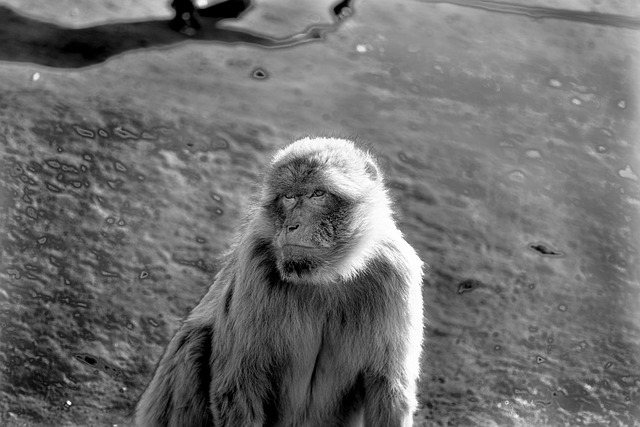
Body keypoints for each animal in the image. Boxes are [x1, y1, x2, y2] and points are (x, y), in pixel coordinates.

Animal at [135, 138, 424, 427]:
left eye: (318, 194)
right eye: (289, 197)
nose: (292, 225)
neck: (325, 278)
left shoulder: (396, 273)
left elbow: (388, 387)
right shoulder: (254, 264)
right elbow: (238, 383)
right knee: (194, 340)